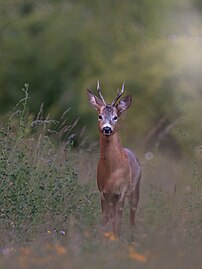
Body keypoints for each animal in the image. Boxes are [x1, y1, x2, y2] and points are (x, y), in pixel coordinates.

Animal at [86, 80, 140, 233]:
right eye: (100, 116)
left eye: (115, 117)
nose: (107, 128)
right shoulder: (103, 192)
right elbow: (105, 220)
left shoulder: (121, 192)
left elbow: (117, 223)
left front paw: (115, 237)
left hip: (135, 189)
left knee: (132, 217)